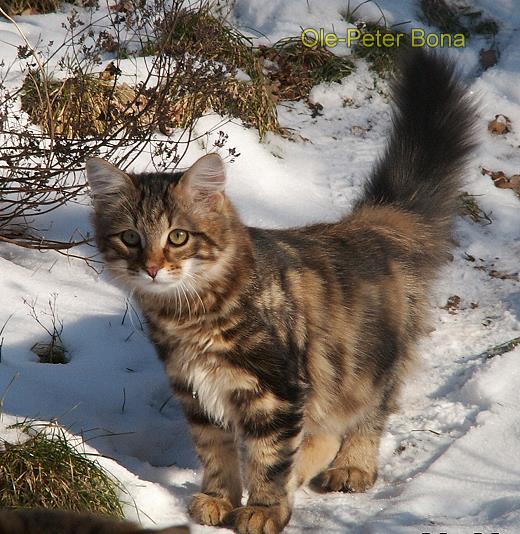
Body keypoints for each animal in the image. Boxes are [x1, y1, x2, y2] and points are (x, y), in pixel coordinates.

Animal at [84, 48, 476, 532]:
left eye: (177, 237)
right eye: (130, 239)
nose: (153, 268)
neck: (191, 314)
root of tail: (368, 225)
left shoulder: (275, 391)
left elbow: (268, 459)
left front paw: (264, 508)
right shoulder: (196, 391)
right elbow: (216, 454)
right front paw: (219, 499)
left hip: (370, 362)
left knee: (367, 417)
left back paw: (352, 467)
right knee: (322, 433)